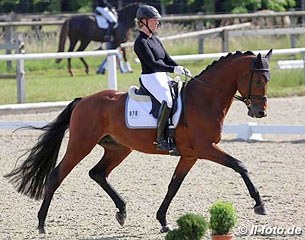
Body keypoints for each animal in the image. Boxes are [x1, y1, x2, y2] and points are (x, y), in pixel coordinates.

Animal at [4, 49, 272, 234]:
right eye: (259, 80)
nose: (259, 113)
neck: (205, 99)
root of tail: (82, 100)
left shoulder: (190, 154)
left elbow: (173, 186)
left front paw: (163, 221)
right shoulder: (206, 148)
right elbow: (239, 165)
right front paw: (259, 204)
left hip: (119, 148)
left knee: (98, 173)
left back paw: (121, 211)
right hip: (81, 144)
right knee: (57, 175)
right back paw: (41, 224)